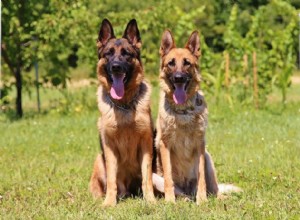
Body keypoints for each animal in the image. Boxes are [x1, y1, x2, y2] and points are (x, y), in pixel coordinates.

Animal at [88, 18, 155, 206]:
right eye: (109, 53)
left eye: (126, 54)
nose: (116, 67)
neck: (124, 104)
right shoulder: (109, 148)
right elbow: (112, 179)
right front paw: (109, 202)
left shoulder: (146, 145)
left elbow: (147, 177)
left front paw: (151, 200)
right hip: (99, 159)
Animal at [152, 30, 241, 204]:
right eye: (171, 63)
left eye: (187, 63)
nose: (179, 77)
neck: (183, 111)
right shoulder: (165, 145)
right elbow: (168, 178)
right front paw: (170, 201)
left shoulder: (200, 145)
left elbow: (201, 178)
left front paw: (202, 201)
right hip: (154, 177)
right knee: (179, 192)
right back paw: (183, 199)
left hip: (208, 157)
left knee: (214, 189)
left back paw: (216, 197)